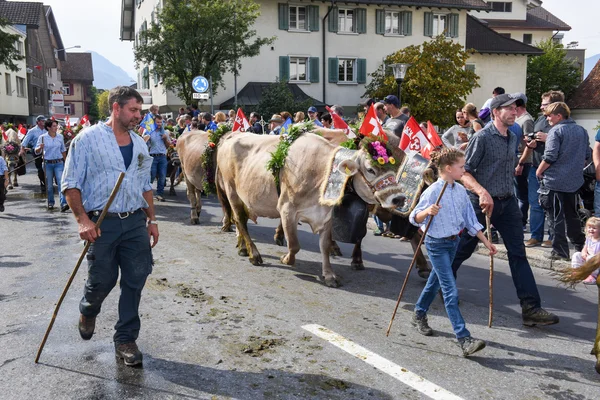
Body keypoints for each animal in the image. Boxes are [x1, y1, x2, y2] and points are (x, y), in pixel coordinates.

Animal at [213, 130, 406, 286]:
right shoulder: (286, 209)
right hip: (231, 190)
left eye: (397, 168)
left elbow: (325, 247)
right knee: (239, 219)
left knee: (240, 220)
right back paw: (254, 254)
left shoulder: (326, 216)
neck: (321, 172)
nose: (400, 198)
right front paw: (286, 259)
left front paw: (329, 275)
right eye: (370, 169)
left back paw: (243, 248)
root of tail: (231, 135)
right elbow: (294, 245)